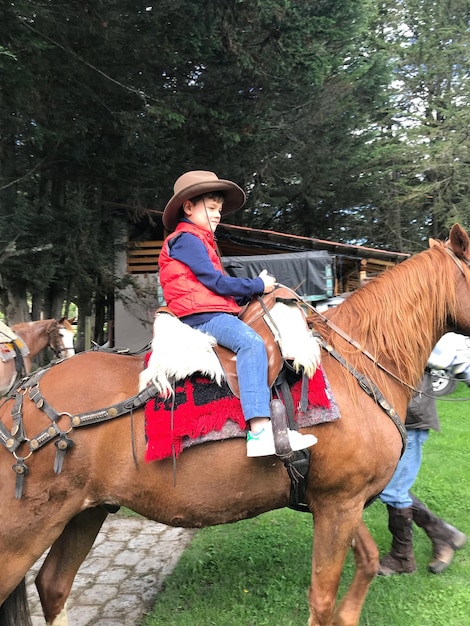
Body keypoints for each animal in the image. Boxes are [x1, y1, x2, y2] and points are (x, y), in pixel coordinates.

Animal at [0, 224, 470, 624]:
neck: (358, 364)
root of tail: (19, 398)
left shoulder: (339, 502)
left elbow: (368, 564)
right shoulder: (340, 502)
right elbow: (321, 600)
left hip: (86, 512)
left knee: (53, 586)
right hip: (23, 535)